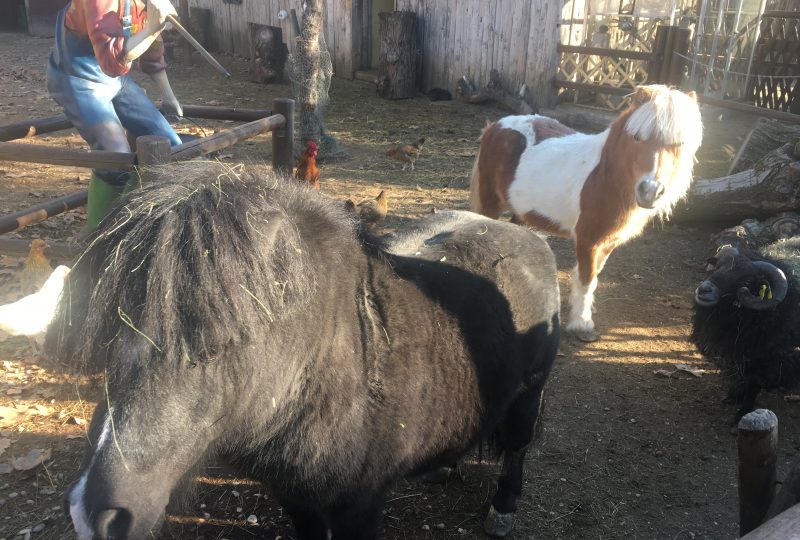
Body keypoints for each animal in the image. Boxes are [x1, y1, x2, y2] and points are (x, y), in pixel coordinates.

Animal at [472, 84, 704, 338]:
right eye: (637, 137)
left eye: (681, 144)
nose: (650, 190)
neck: (605, 176)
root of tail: (496, 125)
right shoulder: (588, 241)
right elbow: (586, 278)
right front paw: (582, 323)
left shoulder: (609, 242)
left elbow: (594, 276)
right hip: (490, 205)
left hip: (522, 211)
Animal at [688, 245, 800, 426]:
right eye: (717, 266)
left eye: (746, 281)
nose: (704, 290)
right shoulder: (739, 354)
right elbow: (740, 377)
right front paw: (733, 397)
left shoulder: (764, 360)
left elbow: (753, 386)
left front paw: (741, 415)